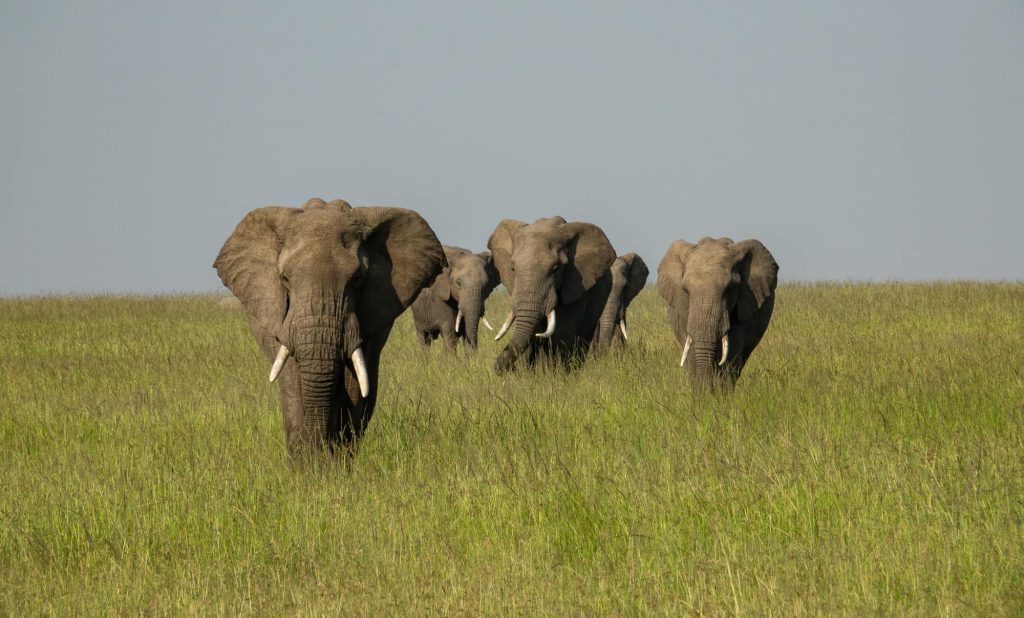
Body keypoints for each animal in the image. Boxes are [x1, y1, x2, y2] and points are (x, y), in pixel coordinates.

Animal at [214, 197, 442, 458]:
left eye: (356, 280)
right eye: (284, 279)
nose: (318, 450)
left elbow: (354, 383)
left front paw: (336, 460)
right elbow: (291, 376)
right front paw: (307, 462)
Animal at [487, 214, 614, 374]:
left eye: (555, 269)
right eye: (513, 268)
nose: (501, 368)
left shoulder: (574, 286)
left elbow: (561, 334)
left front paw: (555, 376)